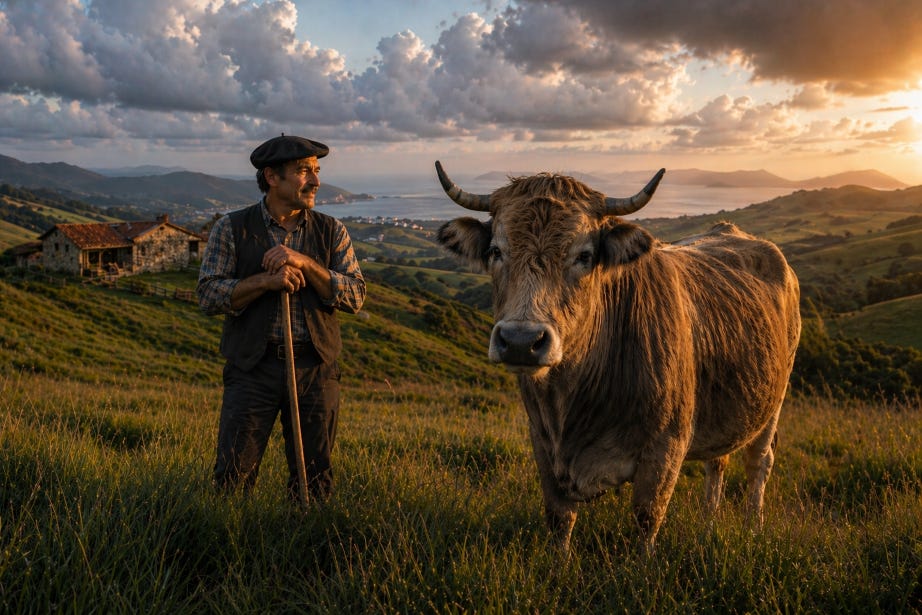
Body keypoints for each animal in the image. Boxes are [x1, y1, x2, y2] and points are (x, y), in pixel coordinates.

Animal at [434, 161, 801, 553]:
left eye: (584, 255)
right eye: (496, 252)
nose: (521, 340)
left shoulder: (665, 446)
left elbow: (647, 518)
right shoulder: (542, 441)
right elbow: (559, 519)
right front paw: (558, 564)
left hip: (774, 400)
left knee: (758, 463)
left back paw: (752, 530)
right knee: (717, 463)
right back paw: (708, 525)